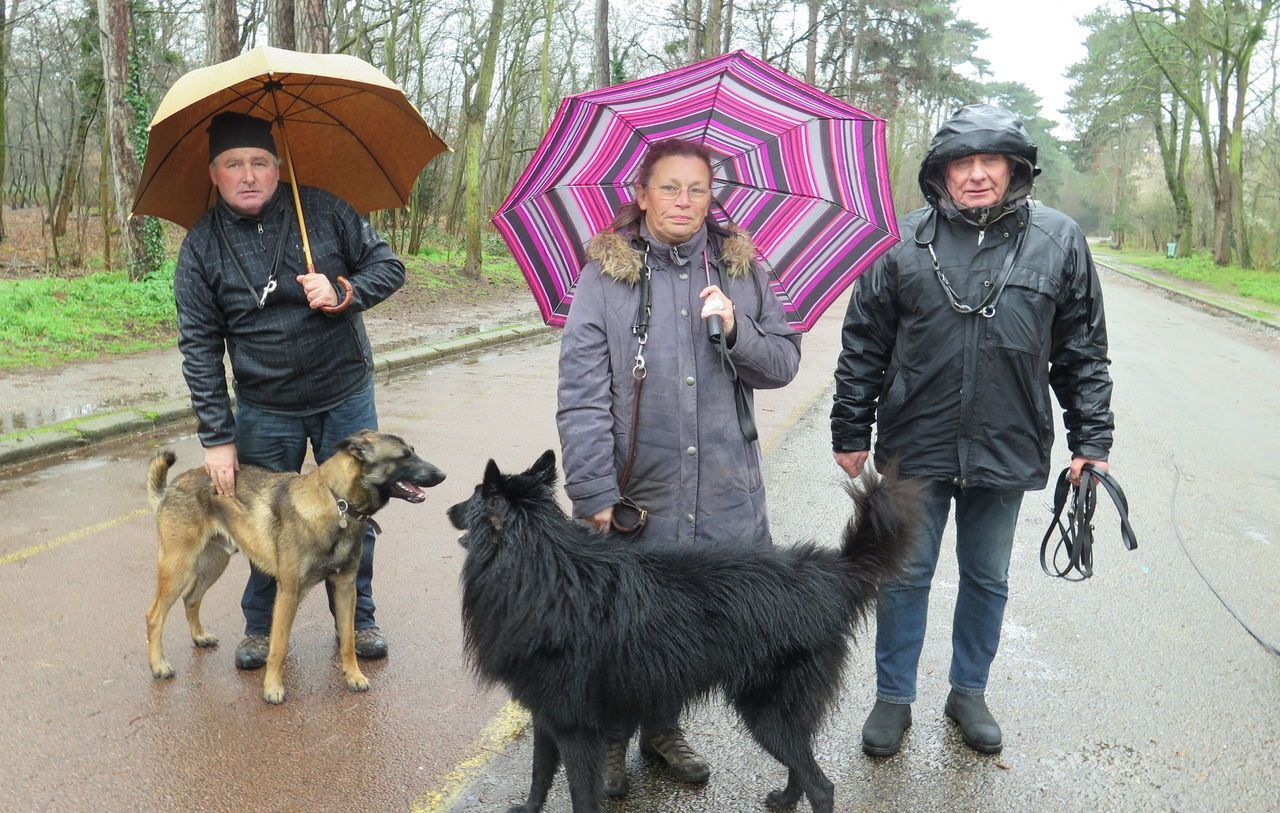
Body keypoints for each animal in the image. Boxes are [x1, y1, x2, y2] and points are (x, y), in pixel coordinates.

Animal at [143, 430, 445, 701]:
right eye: (403, 456)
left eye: (413, 451)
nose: (443, 475)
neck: (337, 502)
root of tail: (173, 486)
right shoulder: (288, 593)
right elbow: (278, 645)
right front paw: (272, 688)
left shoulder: (345, 587)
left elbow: (347, 639)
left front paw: (354, 675)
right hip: (178, 567)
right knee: (154, 615)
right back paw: (159, 665)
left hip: (213, 563)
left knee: (191, 598)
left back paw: (199, 636)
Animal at [445, 450, 916, 813]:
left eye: (472, 494)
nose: (446, 508)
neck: (542, 568)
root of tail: (829, 572)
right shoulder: (547, 714)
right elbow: (539, 775)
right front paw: (527, 808)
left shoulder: (574, 729)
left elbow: (578, 793)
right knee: (803, 768)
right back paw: (784, 800)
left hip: (765, 712)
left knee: (822, 785)